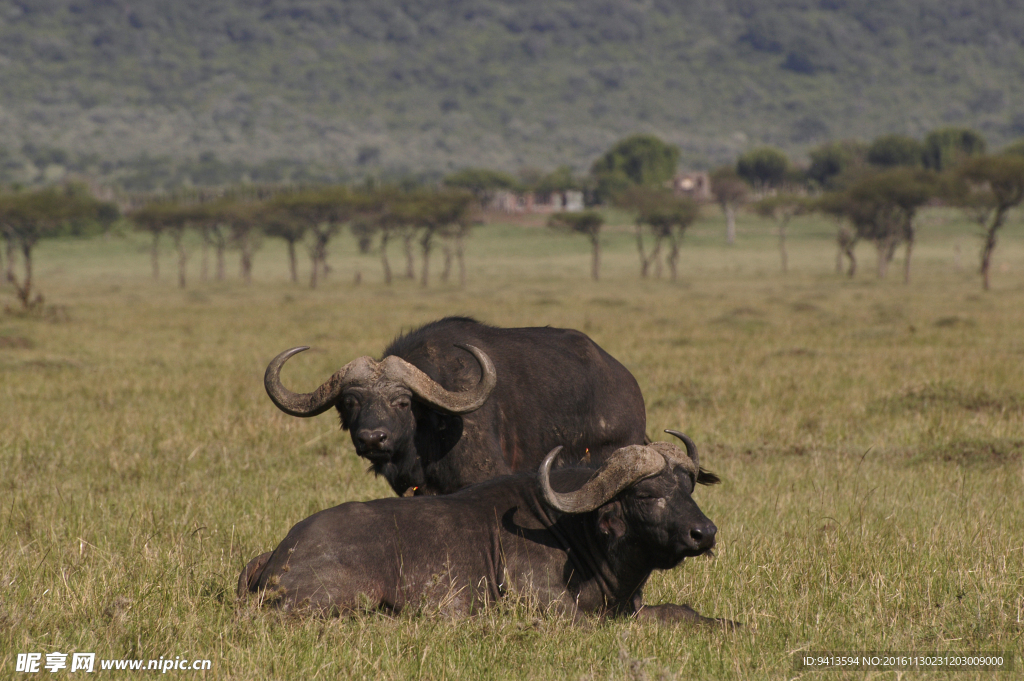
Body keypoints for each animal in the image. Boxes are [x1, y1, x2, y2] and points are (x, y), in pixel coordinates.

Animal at [235, 432, 733, 622]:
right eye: (648, 495)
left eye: (687, 488)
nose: (704, 533)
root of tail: (279, 553)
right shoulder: (552, 609)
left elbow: (682, 613)